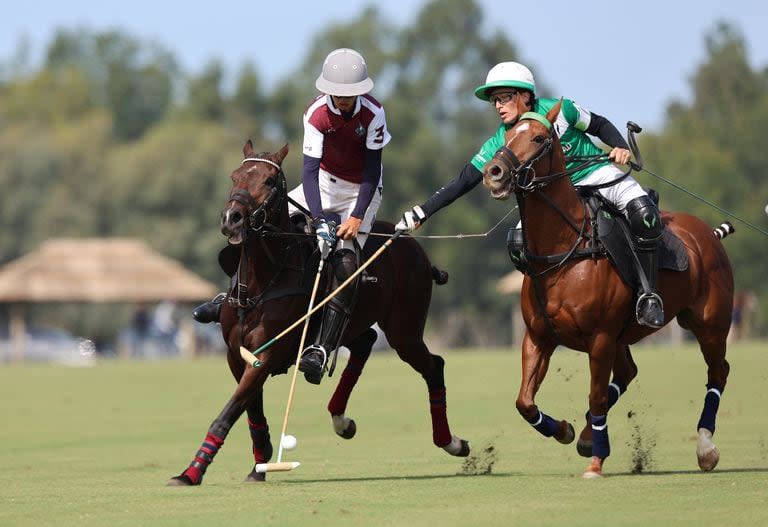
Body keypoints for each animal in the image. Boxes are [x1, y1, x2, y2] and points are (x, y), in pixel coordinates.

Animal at [168, 141, 468, 486]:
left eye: (270, 180)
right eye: (235, 176)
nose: (232, 218)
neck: (264, 279)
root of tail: (412, 245)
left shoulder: (265, 355)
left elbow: (228, 412)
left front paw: (191, 472)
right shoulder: (237, 354)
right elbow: (250, 410)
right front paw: (260, 461)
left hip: (404, 330)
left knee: (433, 365)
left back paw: (452, 442)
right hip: (359, 325)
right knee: (365, 342)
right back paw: (341, 419)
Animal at [484, 102, 736, 478]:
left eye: (540, 138)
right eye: (506, 136)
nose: (494, 172)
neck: (566, 246)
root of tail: (708, 233)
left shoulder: (600, 336)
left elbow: (597, 396)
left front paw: (596, 462)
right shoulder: (539, 337)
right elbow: (524, 402)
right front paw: (565, 430)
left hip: (710, 323)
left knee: (718, 372)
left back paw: (705, 448)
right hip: (624, 334)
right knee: (628, 372)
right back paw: (587, 434)